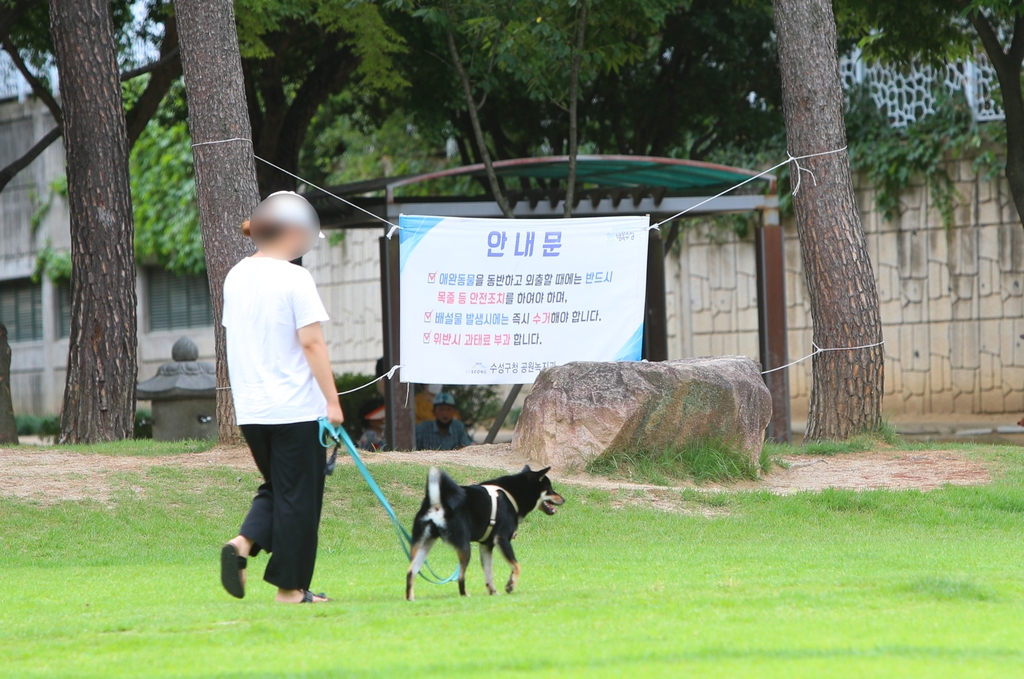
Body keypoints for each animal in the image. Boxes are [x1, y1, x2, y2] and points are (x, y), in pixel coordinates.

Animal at [405, 464, 565, 602]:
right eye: (549, 488)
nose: (564, 499)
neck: (512, 494)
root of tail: (437, 503)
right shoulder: (502, 539)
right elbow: (516, 566)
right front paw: (510, 585)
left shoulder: (486, 546)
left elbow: (489, 575)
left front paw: (494, 592)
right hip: (465, 547)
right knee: (460, 577)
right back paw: (465, 595)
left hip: (422, 545)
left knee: (411, 572)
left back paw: (410, 599)